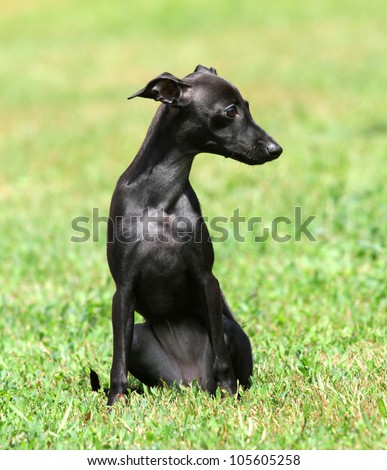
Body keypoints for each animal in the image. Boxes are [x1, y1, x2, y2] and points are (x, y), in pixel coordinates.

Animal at [98, 64, 284, 406]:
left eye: (247, 105)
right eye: (230, 111)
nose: (275, 149)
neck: (160, 198)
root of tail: (190, 379)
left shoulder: (206, 279)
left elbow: (222, 357)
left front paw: (229, 394)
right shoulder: (123, 289)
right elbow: (118, 358)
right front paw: (116, 401)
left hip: (227, 329)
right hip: (140, 338)